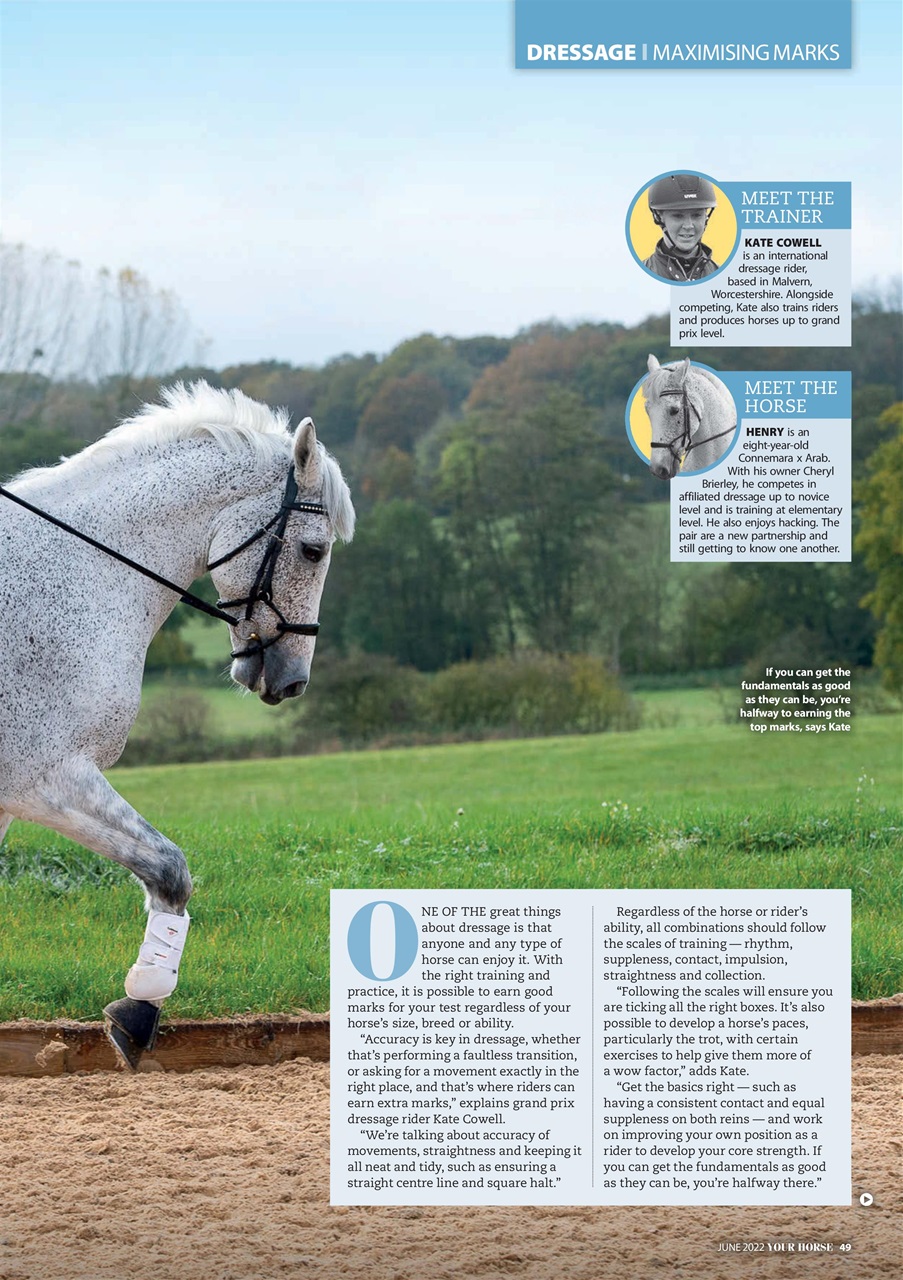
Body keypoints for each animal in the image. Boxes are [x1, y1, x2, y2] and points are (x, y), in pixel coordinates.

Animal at [0, 382, 354, 1068]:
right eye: (312, 549)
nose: (292, 680)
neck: (82, 571)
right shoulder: (45, 776)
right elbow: (169, 866)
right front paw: (140, 1008)